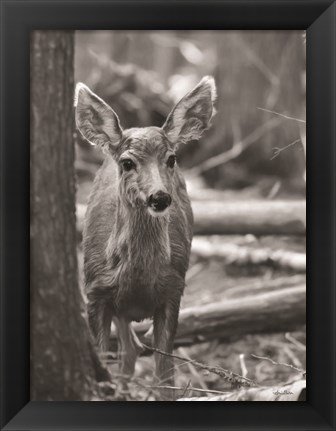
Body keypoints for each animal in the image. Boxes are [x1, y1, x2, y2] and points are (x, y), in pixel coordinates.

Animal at [74, 75, 217, 402]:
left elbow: (166, 379)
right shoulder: (95, 292)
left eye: (172, 159)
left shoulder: (173, 290)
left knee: (132, 350)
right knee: (129, 350)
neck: (136, 280)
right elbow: (105, 359)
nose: (160, 197)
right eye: (127, 163)